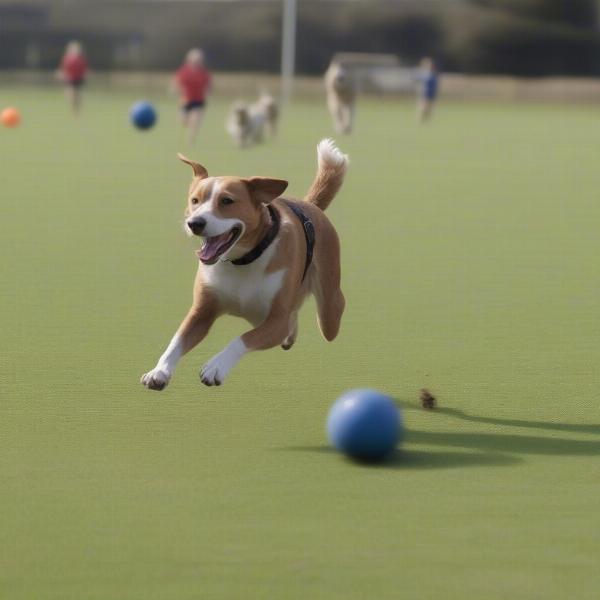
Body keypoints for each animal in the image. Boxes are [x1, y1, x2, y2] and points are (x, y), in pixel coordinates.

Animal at [141, 139, 346, 390]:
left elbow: (244, 338)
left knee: (330, 310)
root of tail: (310, 205)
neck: (241, 260)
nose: (194, 223)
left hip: (328, 310)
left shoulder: (276, 321)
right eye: (195, 200)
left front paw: (216, 366)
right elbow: (177, 340)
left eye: (227, 201)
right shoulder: (202, 312)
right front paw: (159, 371)